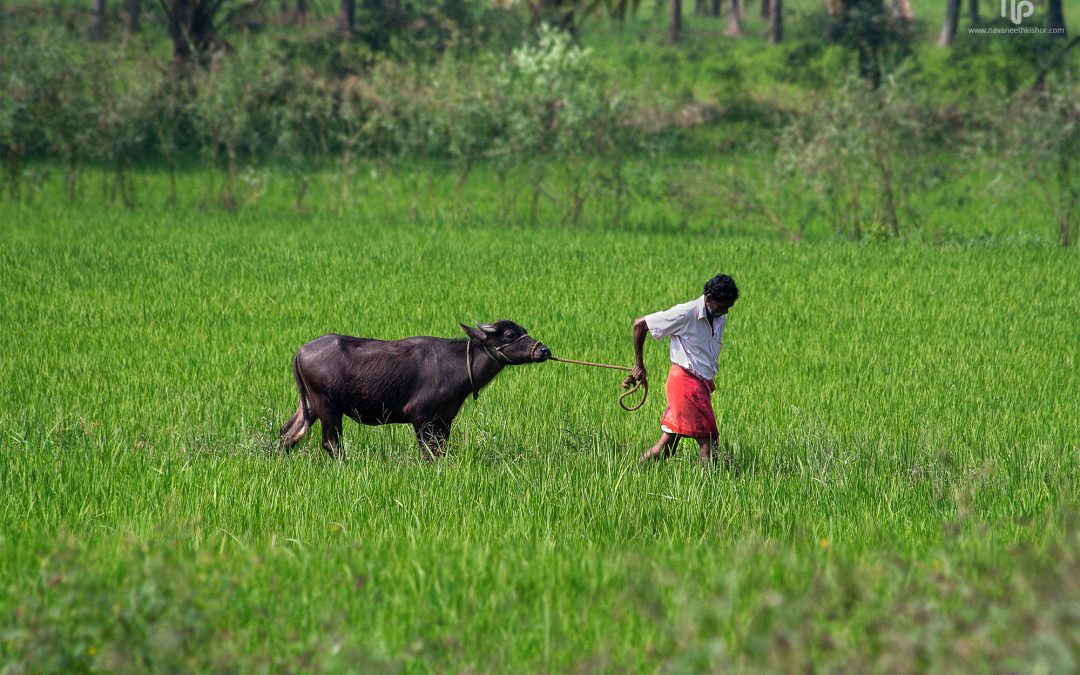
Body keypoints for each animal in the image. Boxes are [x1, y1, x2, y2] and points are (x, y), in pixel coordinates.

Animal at [280, 319, 548, 457]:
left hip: (310, 405)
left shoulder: (444, 419)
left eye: (524, 331)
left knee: (289, 433)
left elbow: (441, 450)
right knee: (331, 443)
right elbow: (428, 451)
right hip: (327, 406)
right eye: (510, 334)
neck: (458, 364)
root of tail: (300, 352)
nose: (544, 350)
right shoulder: (421, 417)